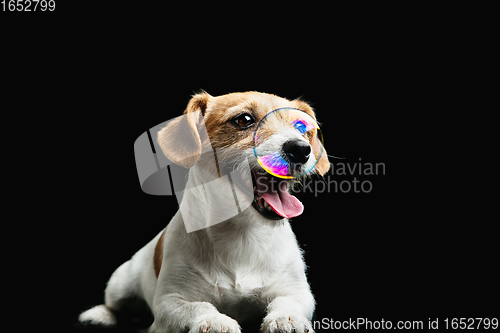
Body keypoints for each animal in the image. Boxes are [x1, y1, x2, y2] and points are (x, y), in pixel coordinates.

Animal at [78, 91, 330, 332]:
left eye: (301, 128)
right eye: (244, 120)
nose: (301, 149)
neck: (242, 233)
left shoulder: (297, 292)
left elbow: (286, 303)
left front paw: (286, 318)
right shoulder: (170, 301)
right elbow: (199, 306)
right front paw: (215, 320)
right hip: (120, 284)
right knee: (115, 305)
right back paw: (99, 314)